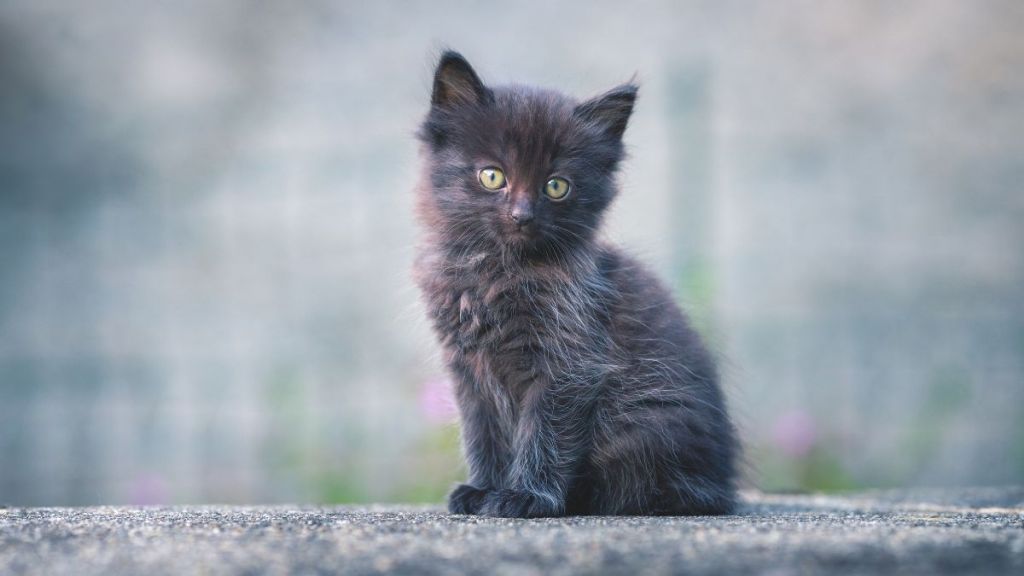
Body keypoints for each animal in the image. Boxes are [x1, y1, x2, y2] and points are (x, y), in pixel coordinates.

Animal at [409, 50, 737, 516]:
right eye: (492, 176)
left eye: (557, 186)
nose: (522, 216)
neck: (497, 272)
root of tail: (723, 485)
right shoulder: (468, 369)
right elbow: (483, 434)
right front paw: (483, 489)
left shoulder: (569, 361)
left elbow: (543, 432)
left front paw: (527, 496)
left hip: (648, 420)